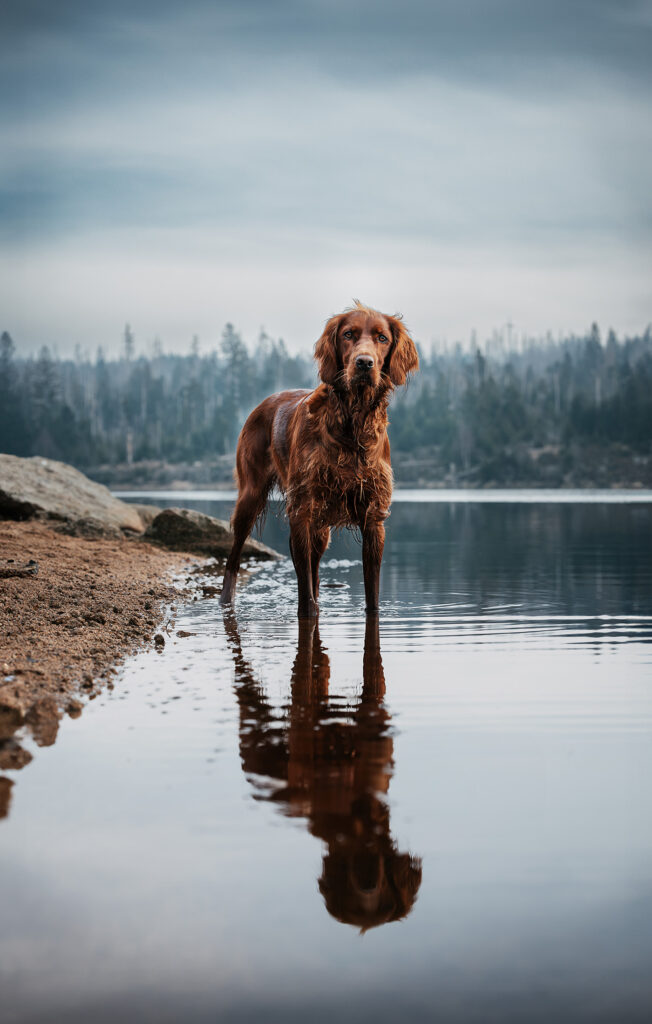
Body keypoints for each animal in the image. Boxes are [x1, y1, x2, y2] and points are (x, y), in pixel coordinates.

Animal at [221, 296, 419, 614]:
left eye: (382, 338)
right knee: (235, 556)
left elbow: (372, 597)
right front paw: (309, 611)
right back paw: (225, 602)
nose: (364, 363)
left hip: (321, 525)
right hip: (251, 497)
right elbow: (305, 600)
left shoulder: (373, 518)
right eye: (348, 334)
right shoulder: (301, 510)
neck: (351, 426)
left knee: (313, 568)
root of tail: (263, 403)